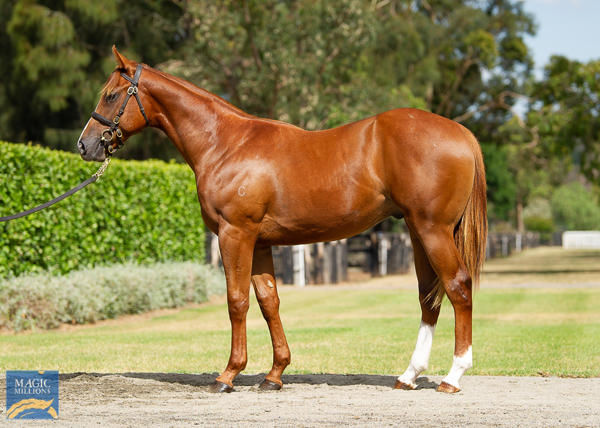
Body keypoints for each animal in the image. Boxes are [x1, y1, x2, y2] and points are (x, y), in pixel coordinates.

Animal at [77, 47, 486, 394]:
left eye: (111, 95)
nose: (86, 145)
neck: (225, 143)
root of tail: (461, 132)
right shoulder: (260, 242)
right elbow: (268, 301)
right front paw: (274, 375)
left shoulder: (235, 234)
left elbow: (237, 300)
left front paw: (228, 375)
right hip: (419, 232)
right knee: (429, 297)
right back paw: (409, 376)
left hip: (433, 230)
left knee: (458, 287)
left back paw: (453, 377)